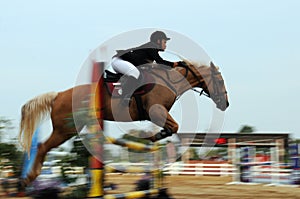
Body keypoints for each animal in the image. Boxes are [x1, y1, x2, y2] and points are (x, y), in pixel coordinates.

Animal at [18, 60, 230, 187]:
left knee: (43, 146)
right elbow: (174, 127)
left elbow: (173, 128)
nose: (226, 104)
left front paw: (156, 138)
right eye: (220, 81)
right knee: (42, 146)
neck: (170, 82)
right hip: (64, 129)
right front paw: (156, 136)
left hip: (70, 128)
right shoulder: (155, 111)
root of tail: (58, 96)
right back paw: (29, 178)